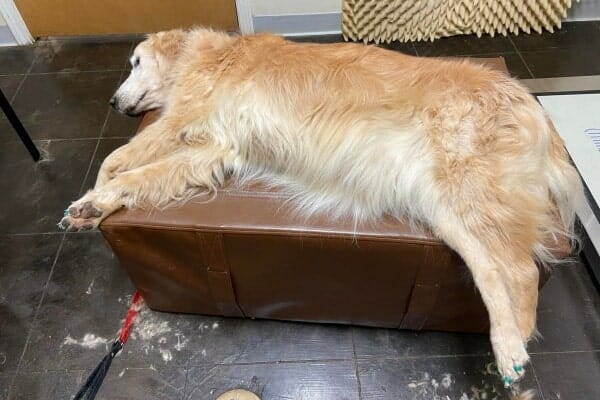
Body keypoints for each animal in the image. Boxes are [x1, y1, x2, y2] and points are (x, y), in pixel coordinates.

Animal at [61, 28, 580, 388]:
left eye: (135, 63)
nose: (112, 101)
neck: (203, 55)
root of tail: (532, 103)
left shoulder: (180, 124)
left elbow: (118, 160)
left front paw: (92, 196)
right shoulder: (210, 150)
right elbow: (136, 175)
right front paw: (95, 207)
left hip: (463, 188)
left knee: (521, 270)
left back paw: (513, 348)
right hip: (445, 208)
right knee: (494, 271)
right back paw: (508, 342)